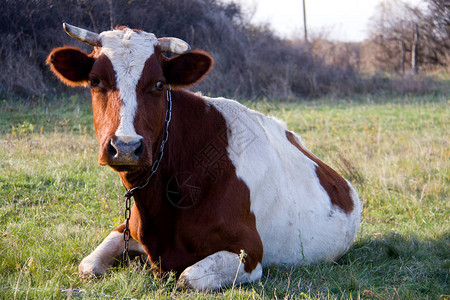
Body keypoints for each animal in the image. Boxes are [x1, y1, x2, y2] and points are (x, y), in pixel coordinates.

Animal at [46, 22, 362, 290]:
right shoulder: (126, 229)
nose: (125, 146)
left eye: (159, 84)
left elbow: (188, 278)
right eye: (95, 81)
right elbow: (87, 267)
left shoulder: (250, 251)